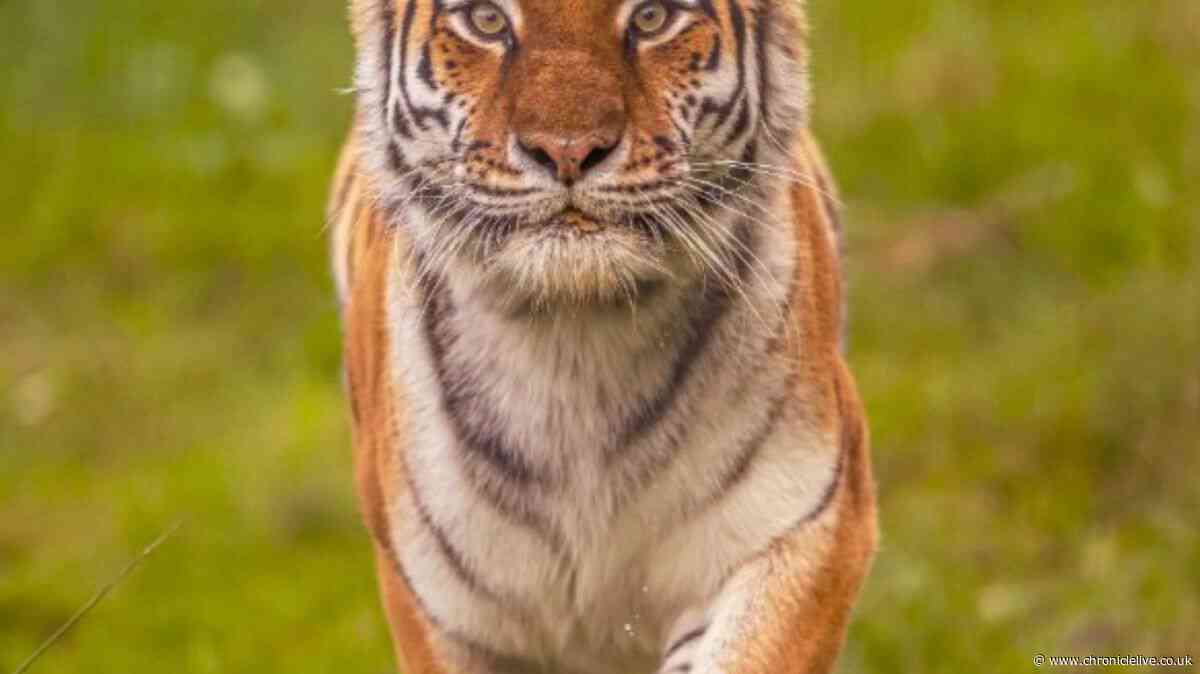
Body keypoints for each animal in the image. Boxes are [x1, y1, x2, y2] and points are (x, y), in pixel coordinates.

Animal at [326, 0, 877, 672]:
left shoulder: (804, 526)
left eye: (652, 18)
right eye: (487, 20)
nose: (568, 150)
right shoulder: (442, 611)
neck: (574, 343)